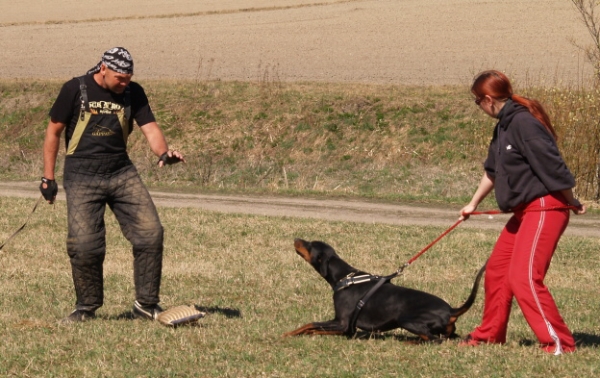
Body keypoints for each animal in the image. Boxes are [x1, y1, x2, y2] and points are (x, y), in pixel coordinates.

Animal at [284, 239, 486, 342]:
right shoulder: (346, 327)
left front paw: (288, 334)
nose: (296, 238)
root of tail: (451, 310)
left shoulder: (342, 323)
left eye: (310, 245)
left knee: (435, 339)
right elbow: (313, 327)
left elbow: (310, 324)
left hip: (406, 319)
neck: (344, 276)